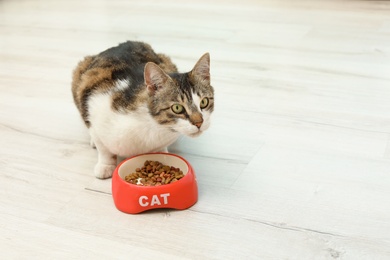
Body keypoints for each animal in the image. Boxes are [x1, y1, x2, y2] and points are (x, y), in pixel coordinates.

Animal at [71, 41, 215, 179]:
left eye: (204, 102)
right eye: (177, 108)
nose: (199, 122)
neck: (154, 127)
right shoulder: (94, 106)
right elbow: (103, 148)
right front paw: (105, 165)